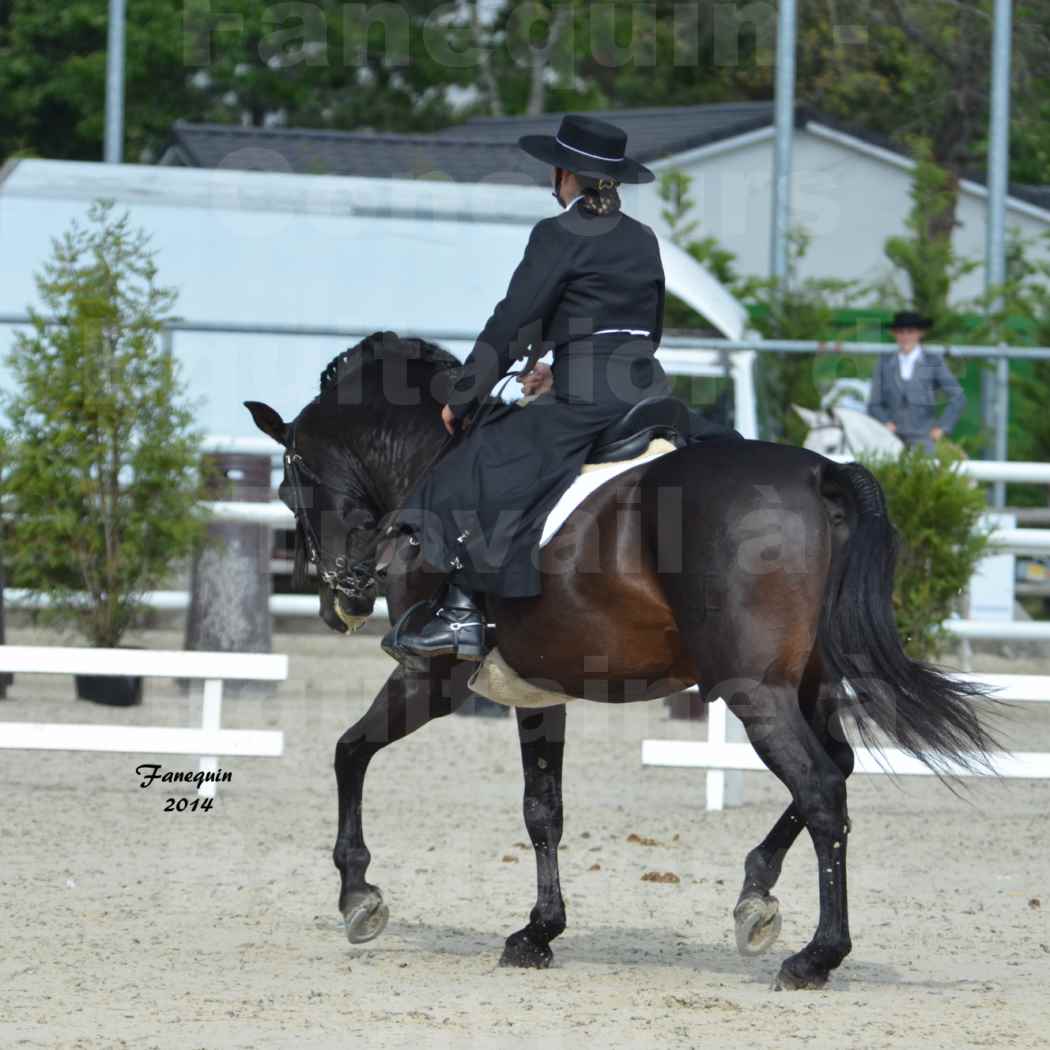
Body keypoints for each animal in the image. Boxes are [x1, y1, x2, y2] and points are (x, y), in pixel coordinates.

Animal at [245, 329, 991, 991]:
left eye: (288, 492)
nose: (340, 600)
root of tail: (820, 471)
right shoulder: (537, 688)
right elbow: (542, 809)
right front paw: (537, 933)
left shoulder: (434, 676)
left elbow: (350, 751)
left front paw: (359, 896)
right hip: (806, 684)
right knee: (835, 768)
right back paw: (755, 895)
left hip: (754, 689)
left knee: (821, 789)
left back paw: (814, 958)